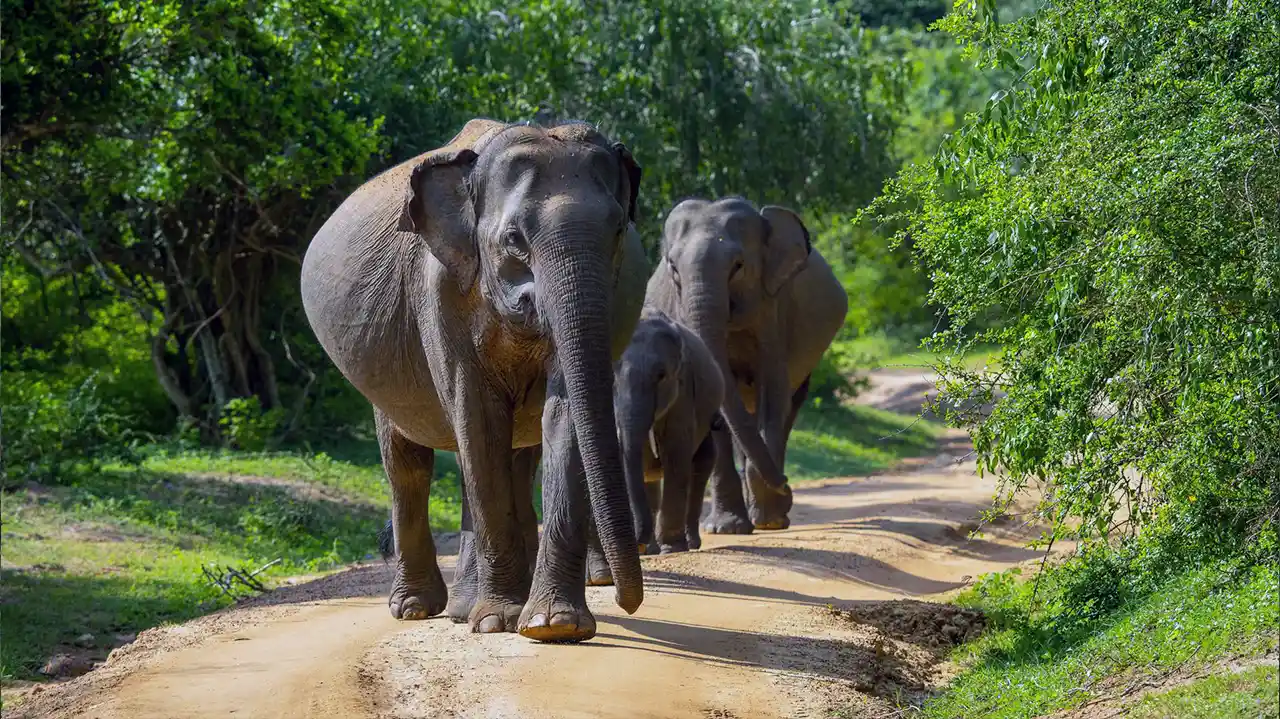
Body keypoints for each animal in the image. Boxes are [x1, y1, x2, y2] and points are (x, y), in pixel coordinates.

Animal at [300, 118, 652, 643]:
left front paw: (553, 626)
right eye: (514, 238)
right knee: (409, 464)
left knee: (507, 459)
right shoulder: (441, 292)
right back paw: (420, 609)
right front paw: (498, 622)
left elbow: (562, 415)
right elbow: (478, 418)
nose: (630, 602)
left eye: (617, 232)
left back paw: (468, 606)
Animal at [584, 308, 725, 582]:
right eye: (610, 375)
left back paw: (687, 543)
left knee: (701, 465)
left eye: (661, 376)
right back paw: (651, 549)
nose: (637, 541)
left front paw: (672, 548)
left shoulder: (683, 391)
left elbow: (675, 454)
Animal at [645, 197, 847, 533]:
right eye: (673, 267)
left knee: (788, 407)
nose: (788, 485)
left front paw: (771, 520)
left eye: (738, 266)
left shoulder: (774, 309)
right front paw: (726, 529)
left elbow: (773, 394)